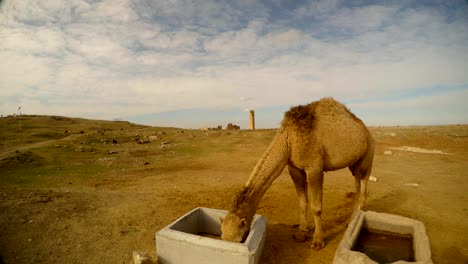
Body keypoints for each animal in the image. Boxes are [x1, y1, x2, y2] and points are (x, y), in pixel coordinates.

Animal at [220, 96, 376, 248]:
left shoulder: (314, 167)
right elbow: (302, 202)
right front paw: (302, 232)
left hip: (368, 155)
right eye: (222, 236)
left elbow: (316, 207)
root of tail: (366, 130)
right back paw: (351, 220)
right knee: (357, 186)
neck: (289, 139)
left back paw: (351, 222)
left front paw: (318, 241)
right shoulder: (294, 168)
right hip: (354, 164)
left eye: (240, 239)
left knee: (363, 186)